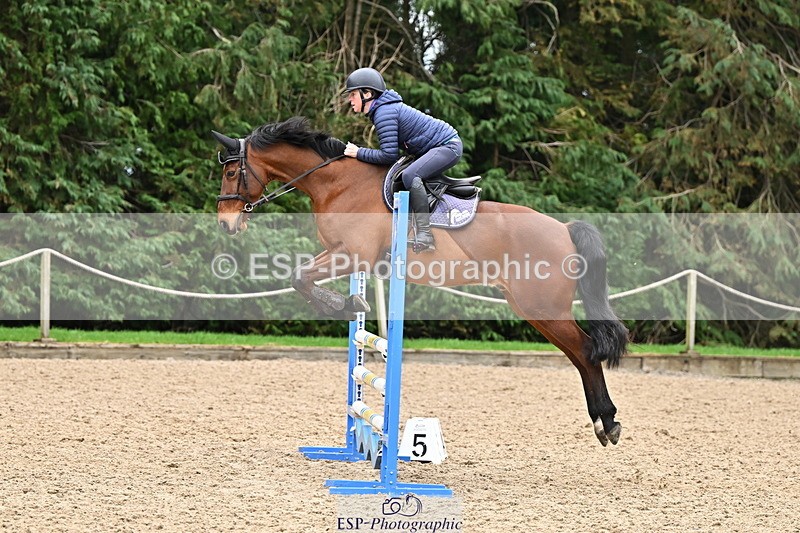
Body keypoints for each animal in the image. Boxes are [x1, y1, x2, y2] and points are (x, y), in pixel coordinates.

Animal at [213, 116, 629, 446]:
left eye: (232, 173)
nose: (226, 224)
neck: (337, 183)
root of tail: (564, 228)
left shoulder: (353, 255)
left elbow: (299, 277)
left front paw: (343, 304)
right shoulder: (338, 253)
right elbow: (301, 275)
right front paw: (349, 304)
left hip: (542, 307)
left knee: (586, 350)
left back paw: (607, 422)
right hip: (536, 310)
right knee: (579, 354)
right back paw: (602, 421)